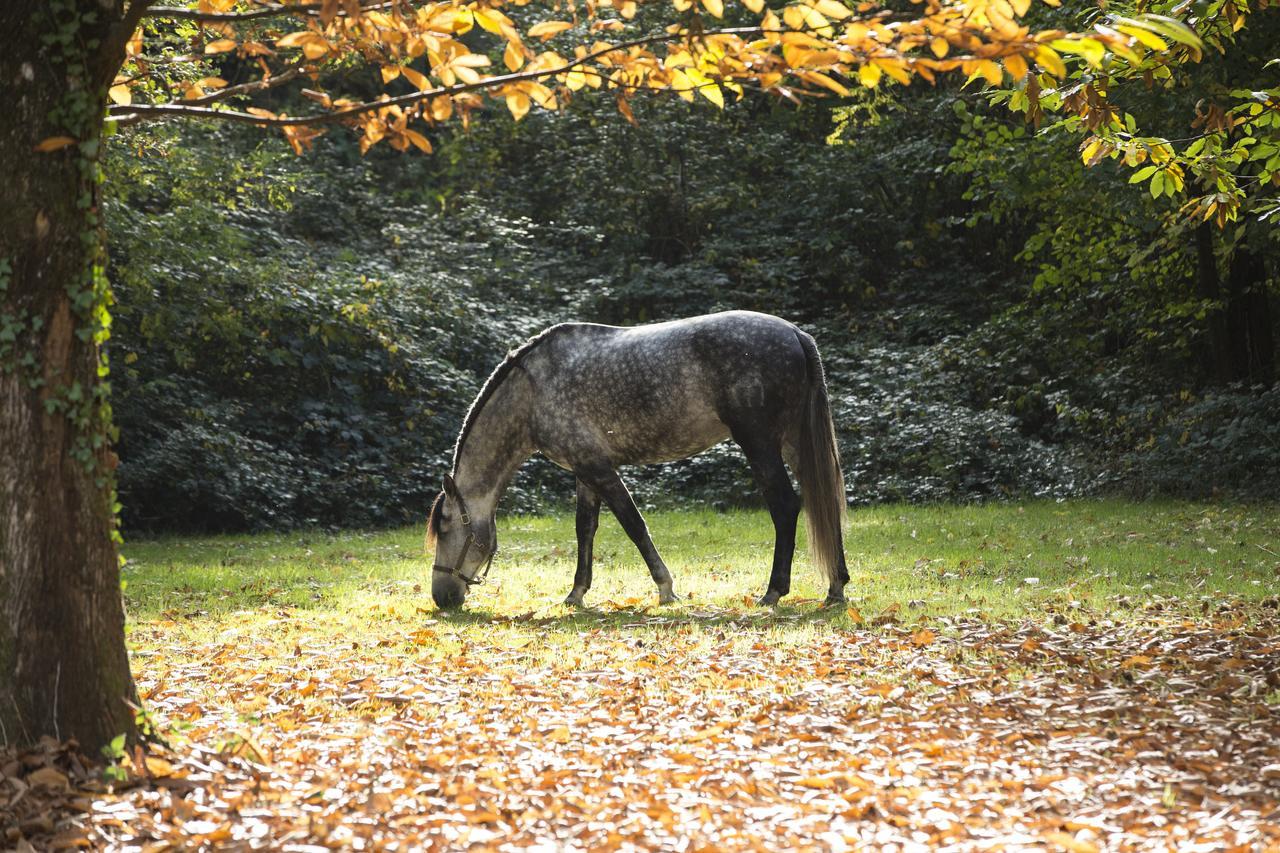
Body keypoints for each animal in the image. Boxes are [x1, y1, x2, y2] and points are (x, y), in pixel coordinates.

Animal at [427, 308, 849, 607]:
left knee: (785, 506)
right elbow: (585, 530)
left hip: (759, 445)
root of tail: (795, 334)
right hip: (793, 444)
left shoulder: (601, 470)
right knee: (823, 503)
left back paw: (774, 591)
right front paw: (576, 593)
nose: (441, 598)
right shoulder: (584, 472)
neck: (534, 391)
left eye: (445, 525)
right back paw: (836, 587)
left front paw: (665, 588)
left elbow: (634, 526)